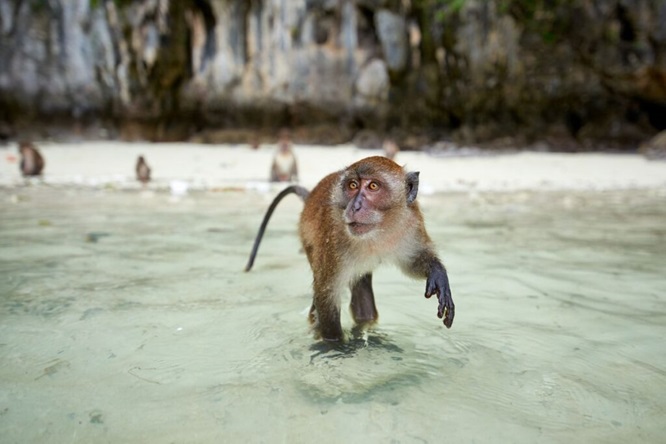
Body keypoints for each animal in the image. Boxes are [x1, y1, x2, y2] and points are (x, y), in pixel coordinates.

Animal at [246, 154, 454, 342]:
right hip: (308, 240)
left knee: (362, 289)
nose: (355, 206)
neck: (378, 230)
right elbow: (326, 294)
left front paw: (437, 272)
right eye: (353, 185)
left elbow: (412, 262)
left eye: (373, 186)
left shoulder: (411, 223)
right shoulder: (333, 239)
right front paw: (337, 346)